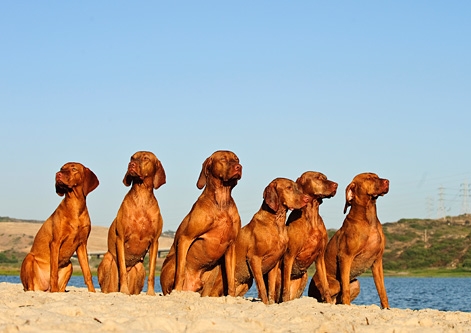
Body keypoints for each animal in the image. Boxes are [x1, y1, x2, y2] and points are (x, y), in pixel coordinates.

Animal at [19, 162, 99, 292]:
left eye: (74, 169)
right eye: (62, 168)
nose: (58, 174)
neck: (75, 206)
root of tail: (43, 287)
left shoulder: (82, 244)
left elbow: (87, 273)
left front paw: (92, 291)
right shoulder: (55, 242)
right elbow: (54, 272)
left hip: (69, 265)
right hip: (29, 259)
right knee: (31, 287)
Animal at [97, 150, 166, 294]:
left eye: (145, 158)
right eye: (132, 158)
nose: (131, 164)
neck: (142, 195)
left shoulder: (155, 242)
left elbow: (152, 273)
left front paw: (151, 293)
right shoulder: (121, 238)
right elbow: (123, 269)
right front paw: (124, 290)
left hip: (140, 267)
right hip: (108, 259)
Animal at [161, 149, 243, 294]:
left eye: (236, 159)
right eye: (223, 159)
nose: (239, 167)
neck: (222, 202)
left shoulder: (231, 246)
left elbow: (231, 279)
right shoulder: (185, 238)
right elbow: (180, 273)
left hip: (213, 270)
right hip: (171, 262)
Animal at [280, 170, 340, 302]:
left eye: (326, 177)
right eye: (318, 178)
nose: (336, 185)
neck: (311, 214)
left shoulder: (320, 256)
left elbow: (325, 287)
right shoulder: (289, 255)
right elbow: (285, 289)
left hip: (304, 278)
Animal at [308, 172, 390, 308]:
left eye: (377, 176)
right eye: (369, 178)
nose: (387, 181)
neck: (369, 218)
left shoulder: (377, 261)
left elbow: (382, 291)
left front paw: (386, 308)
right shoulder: (345, 257)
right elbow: (345, 288)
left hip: (356, 284)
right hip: (335, 283)